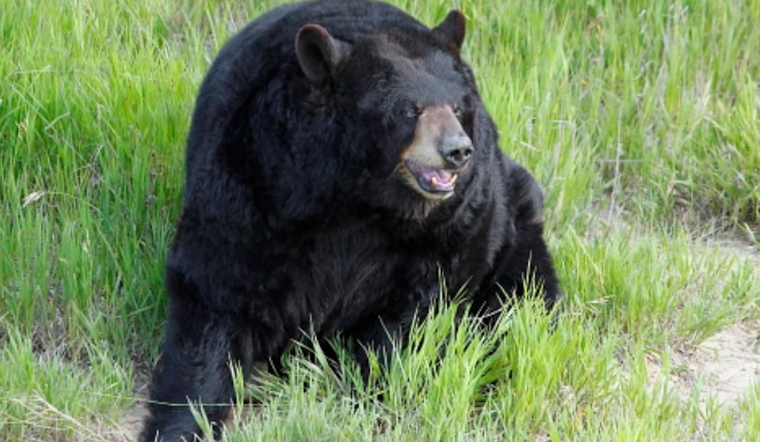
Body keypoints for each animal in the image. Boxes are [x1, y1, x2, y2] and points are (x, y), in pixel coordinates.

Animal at [140, 0, 561, 441]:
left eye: (459, 107)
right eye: (409, 109)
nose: (458, 150)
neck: (356, 197)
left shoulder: (449, 225)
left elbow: (415, 314)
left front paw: (373, 391)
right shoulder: (249, 180)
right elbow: (217, 293)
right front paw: (181, 422)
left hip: (515, 217)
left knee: (522, 294)